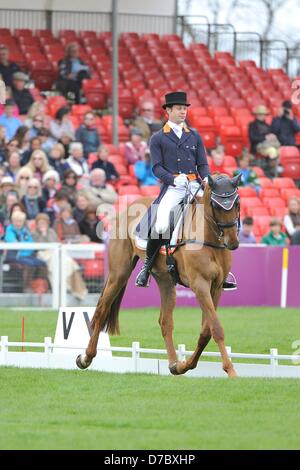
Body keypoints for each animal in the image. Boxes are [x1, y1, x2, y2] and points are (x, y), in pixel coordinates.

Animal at [77, 173, 241, 378]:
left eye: (237, 203)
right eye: (216, 205)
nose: (232, 242)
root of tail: (129, 208)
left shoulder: (216, 287)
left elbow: (206, 331)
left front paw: (186, 364)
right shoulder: (200, 285)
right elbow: (216, 328)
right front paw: (231, 370)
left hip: (165, 281)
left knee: (165, 322)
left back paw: (174, 365)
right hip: (119, 274)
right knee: (101, 311)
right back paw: (85, 358)